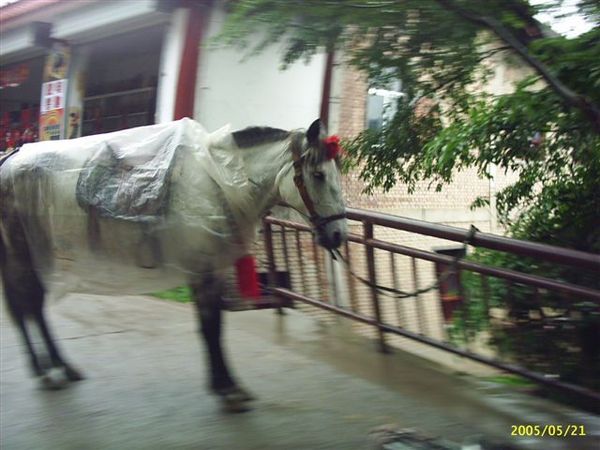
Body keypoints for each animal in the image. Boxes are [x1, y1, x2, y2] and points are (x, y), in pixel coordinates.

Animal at [0, 118, 346, 414]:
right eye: (318, 175)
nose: (338, 235)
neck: (221, 180)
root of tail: (9, 159)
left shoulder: (211, 271)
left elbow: (213, 328)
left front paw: (225, 386)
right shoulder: (203, 272)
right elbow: (211, 329)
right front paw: (229, 390)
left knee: (31, 307)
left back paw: (59, 368)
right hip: (22, 256)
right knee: (28, 306)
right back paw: (48, 371)